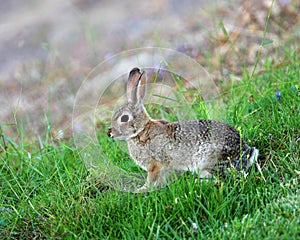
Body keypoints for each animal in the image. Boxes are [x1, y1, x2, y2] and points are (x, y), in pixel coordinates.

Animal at [107, 68, 258, 190]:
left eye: (124, 118)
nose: (109, 132)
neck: (140, 131)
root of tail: (246, 152)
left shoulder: (154, 165)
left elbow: (151, 179)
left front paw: (143, 189)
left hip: (208, 160)